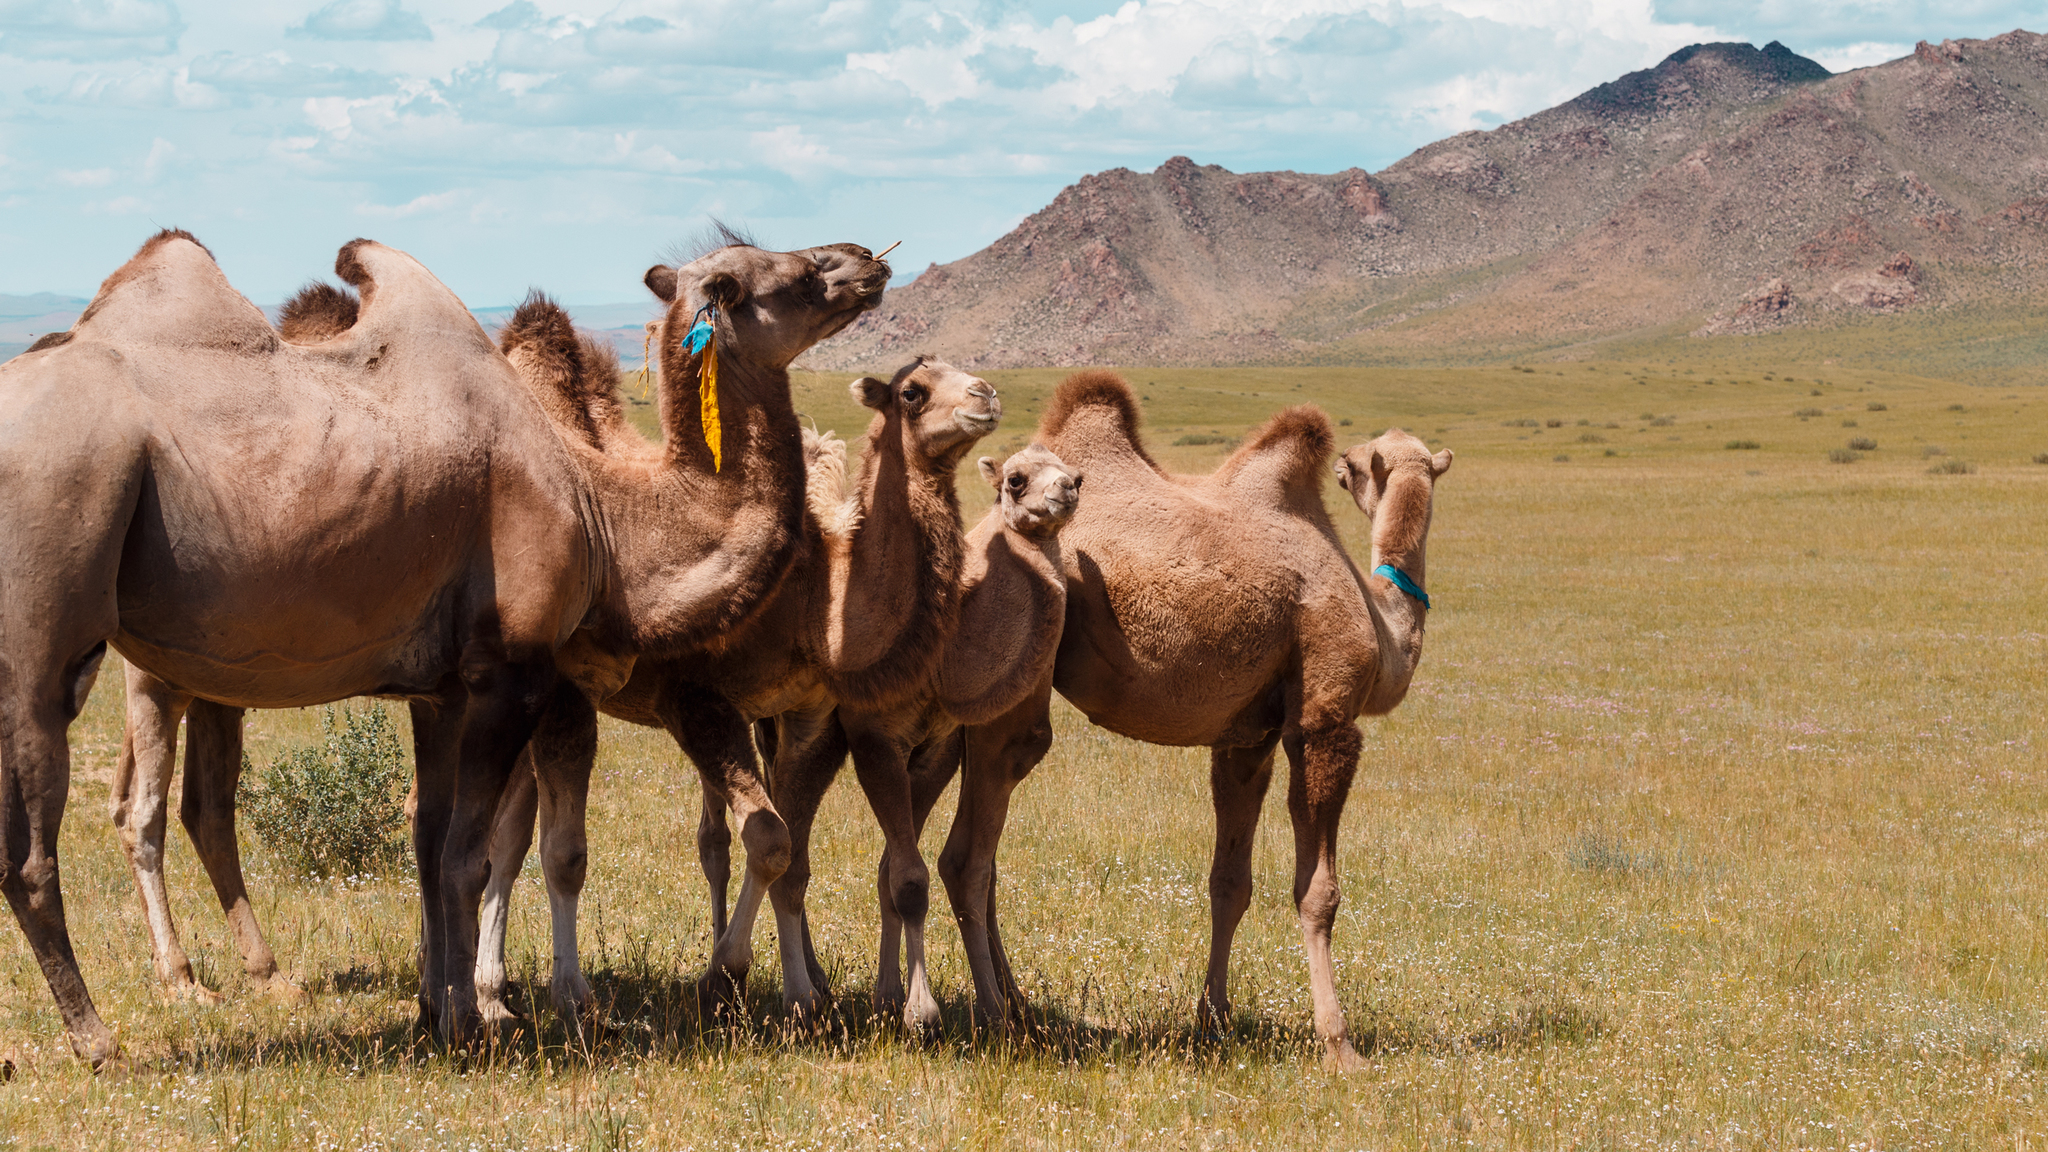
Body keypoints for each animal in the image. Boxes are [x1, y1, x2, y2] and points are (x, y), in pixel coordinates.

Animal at [6, 226, 888, 1057]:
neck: (601, 511)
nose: (868, 260)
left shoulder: (441, 691)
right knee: (46, 846)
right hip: (47, 633)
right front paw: (475, 1023)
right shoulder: (513, 672)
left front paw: (439, 1008)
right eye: (796, 274)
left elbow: (432, 846)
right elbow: (473, 856)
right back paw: (102, 1037)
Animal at [937, 373, 1449, 1074]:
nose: (1346, 469)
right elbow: (1318, 892)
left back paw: (1021, 1011)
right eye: (1352, 465)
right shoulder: (1324, 718)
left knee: (982, 852)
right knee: (971, 851)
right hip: (1011, 693)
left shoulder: (1247, 738)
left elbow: (1229, 883)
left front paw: (1214, 1021)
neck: (1382, 622)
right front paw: (1338, 1044)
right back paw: (1000, 1023)